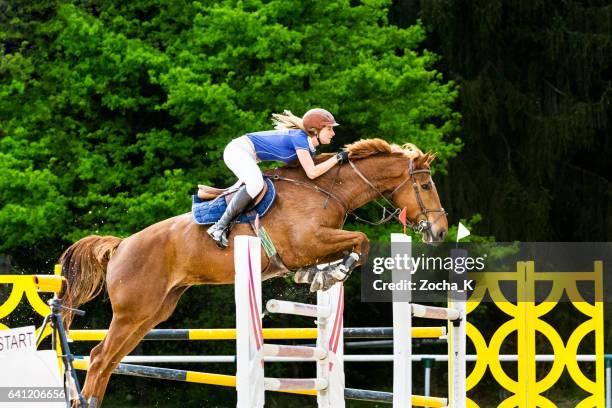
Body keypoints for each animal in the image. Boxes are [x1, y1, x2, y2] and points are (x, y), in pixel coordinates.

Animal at [59, 139, 448, 406]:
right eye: (426, 186)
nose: (441, 231)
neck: (327, 190)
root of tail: (121, 245)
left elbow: (353, 246)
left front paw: (319, 274)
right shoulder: (307, 242)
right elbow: (362, 242)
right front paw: (333, 272)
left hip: (152, 313)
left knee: (108, 360)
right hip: (133, 312)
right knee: (100, 358)